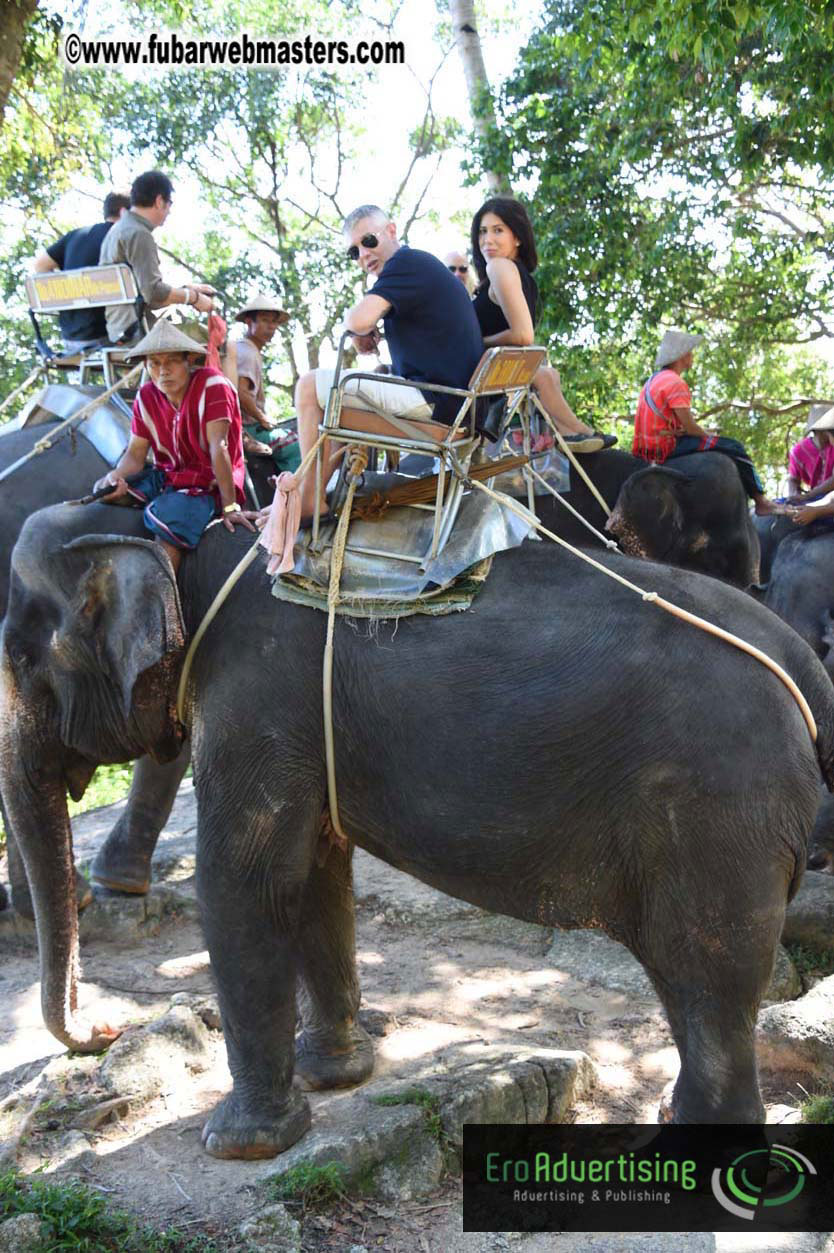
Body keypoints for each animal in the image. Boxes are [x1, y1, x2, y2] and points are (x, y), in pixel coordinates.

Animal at [2, 500, 833, 1158]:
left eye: (21, 653)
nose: (105, 1031)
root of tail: (803, 666)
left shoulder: (256, 698)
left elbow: (244, 881)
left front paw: (238, 1145)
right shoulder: (302, 723)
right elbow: (319, 869)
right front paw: (336, 1075)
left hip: (720, 813)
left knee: (708, 972)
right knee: (694, 980)